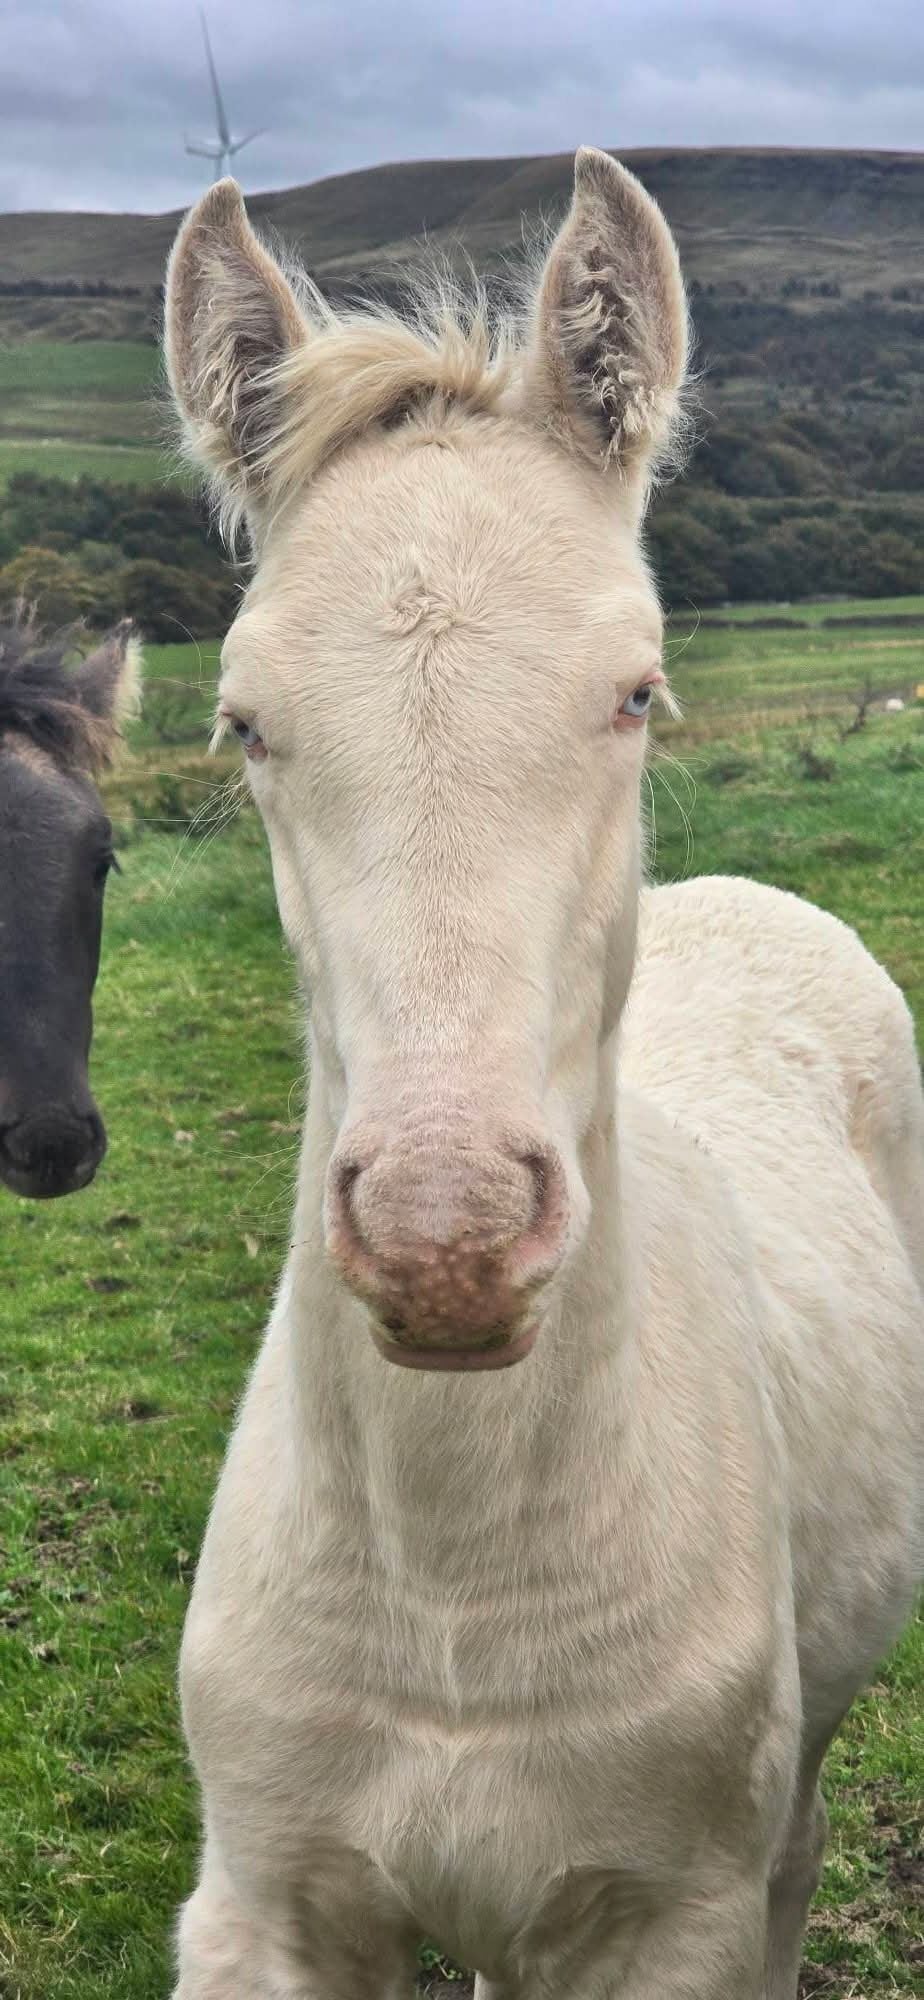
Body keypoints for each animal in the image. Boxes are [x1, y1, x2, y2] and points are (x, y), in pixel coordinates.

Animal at [163, 148, 924, 1998]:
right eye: (243, 722)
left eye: (635, 691)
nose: (443, 1242)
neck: (456, 1594)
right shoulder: (262, 1904)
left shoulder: (669, 1919)